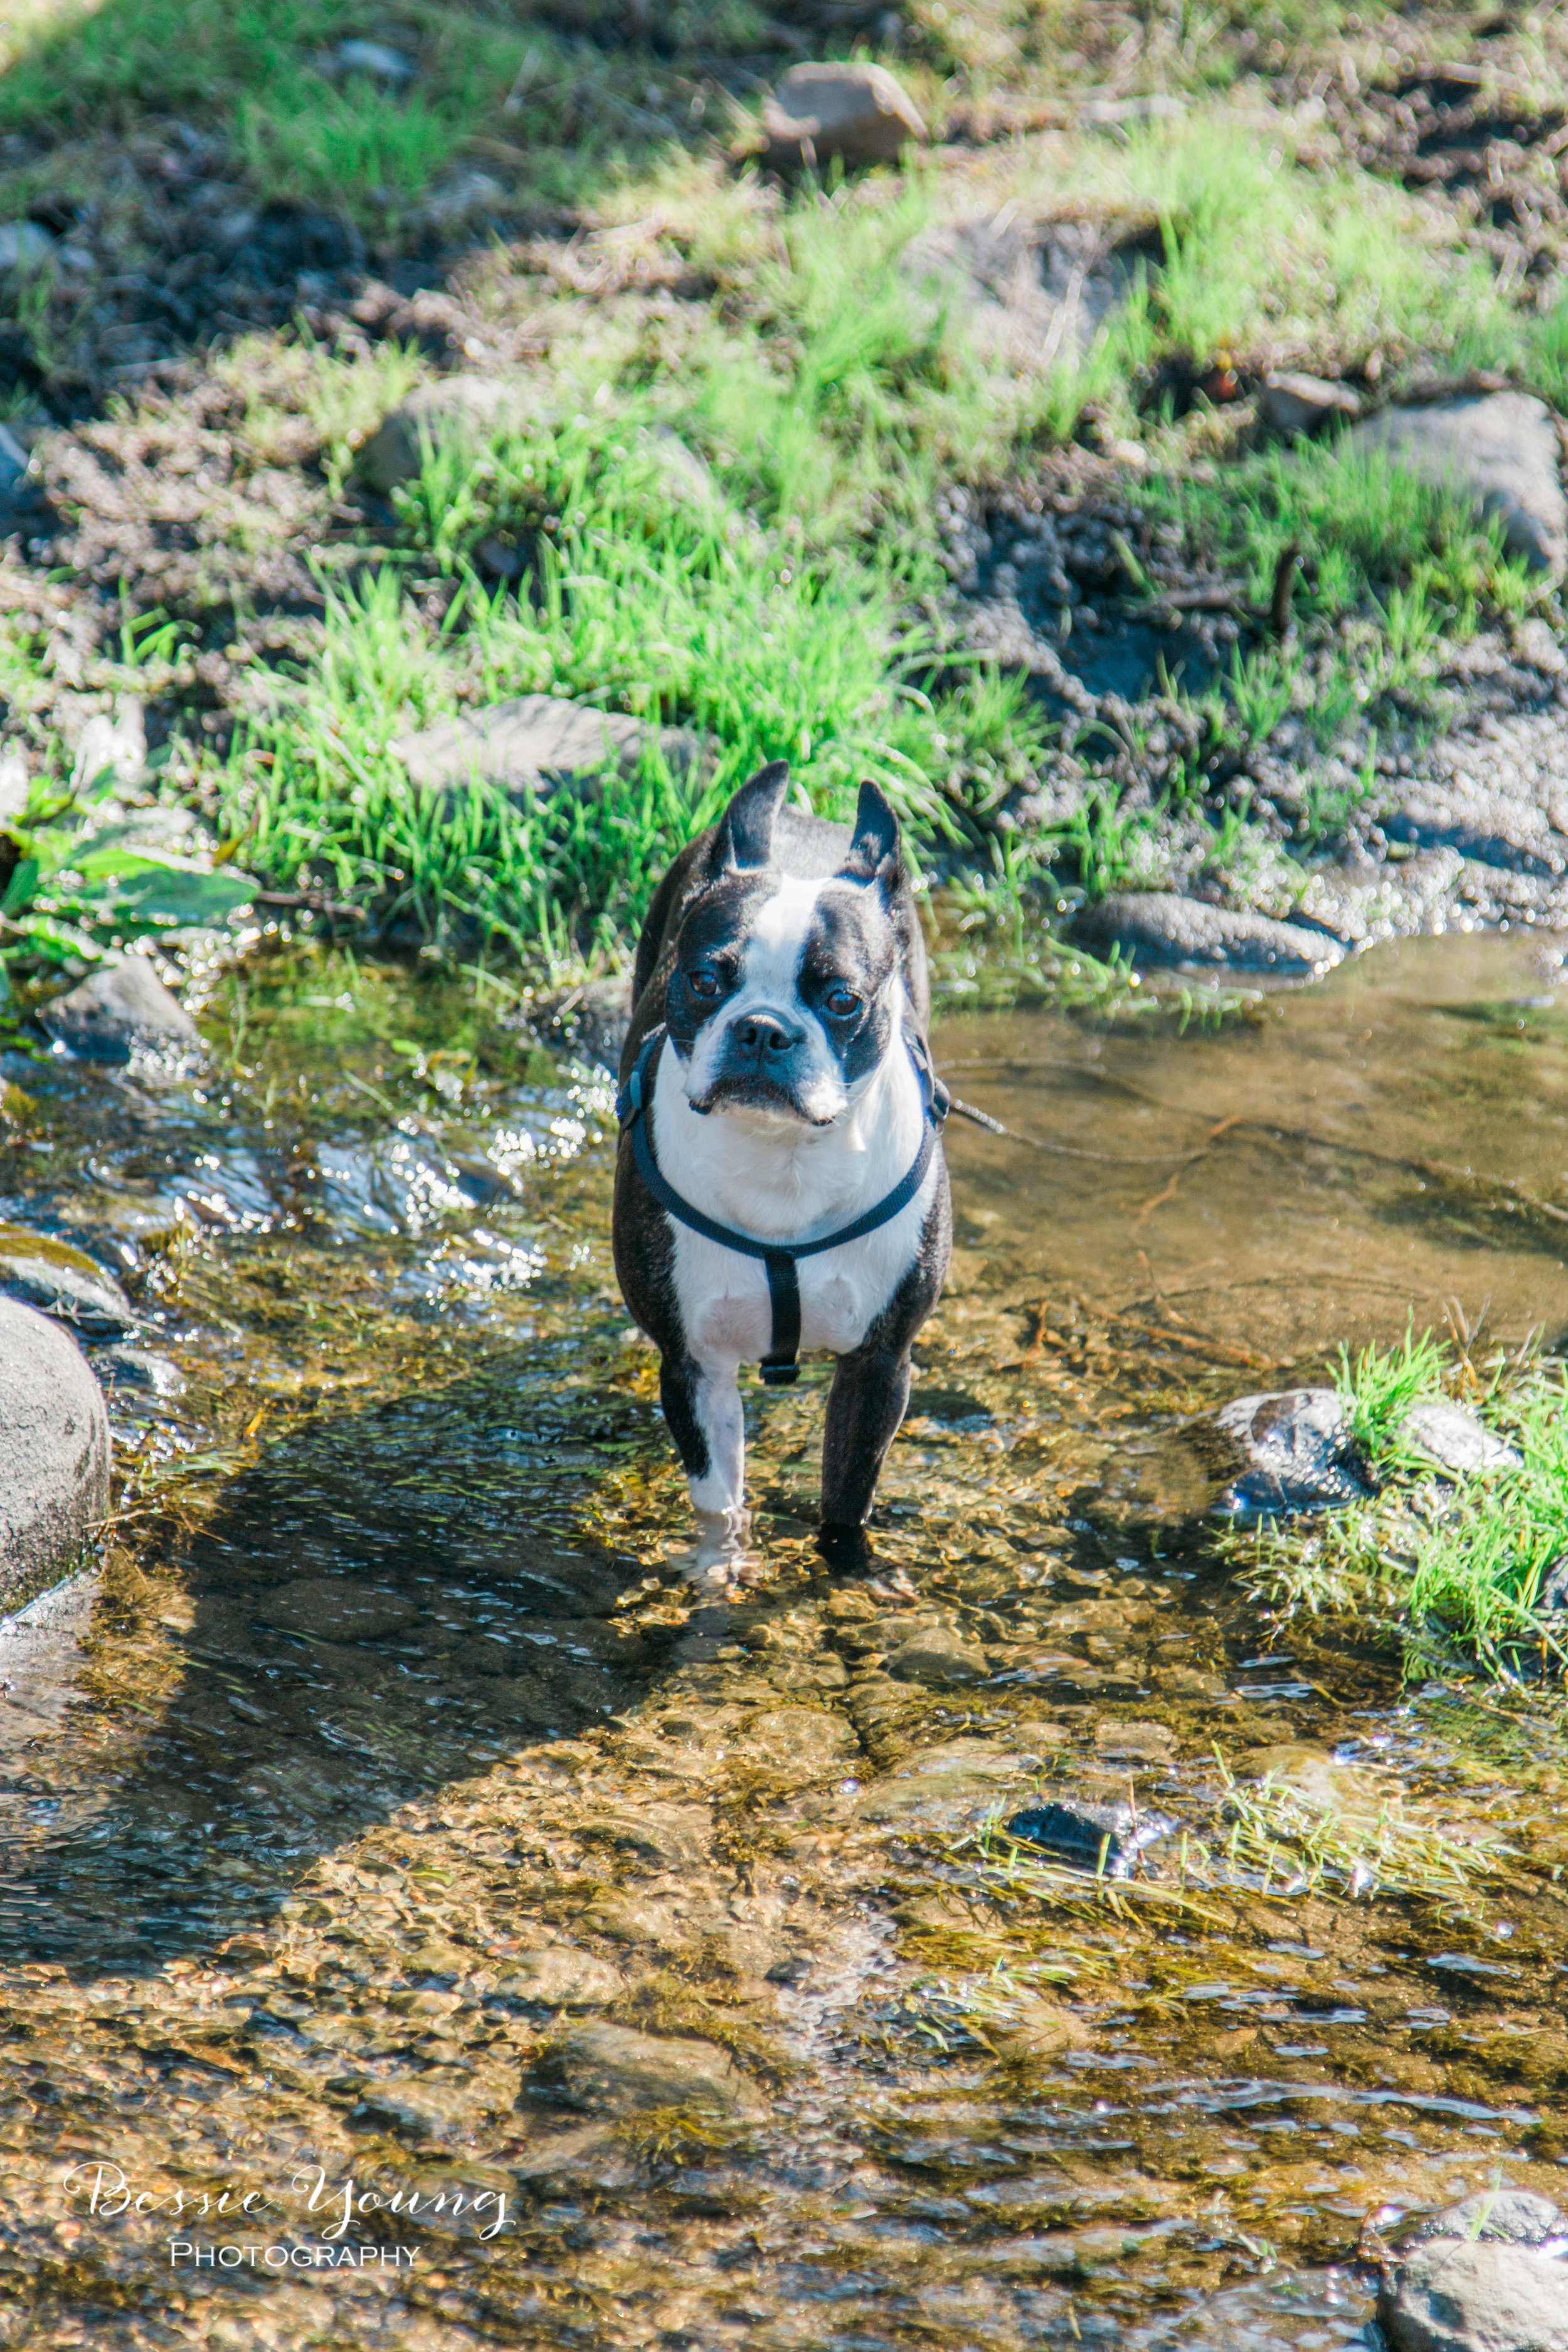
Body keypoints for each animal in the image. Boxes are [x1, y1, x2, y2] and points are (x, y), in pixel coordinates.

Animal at [616, 753, 959, 1562]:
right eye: (705, 981)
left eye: (841, 1000)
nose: (763, 1029)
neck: (783, 1158)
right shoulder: (693, 1367)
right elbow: (718, 1499)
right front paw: (719, 1568)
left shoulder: (878, 1367)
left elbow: (846, 1499)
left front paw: (844, 1564)